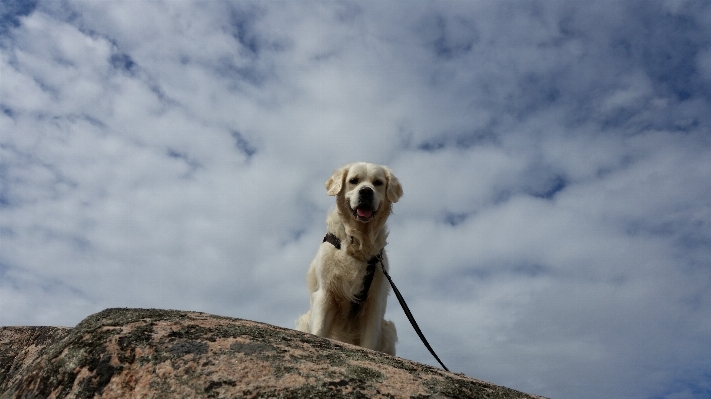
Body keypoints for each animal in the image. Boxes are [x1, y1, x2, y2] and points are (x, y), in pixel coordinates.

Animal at [294, 162, 404, 356]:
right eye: (354, 181)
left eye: (378, 182)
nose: (366, 191)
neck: (358, 242)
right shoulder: (326, 293)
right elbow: (319, 329)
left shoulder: (375, 301)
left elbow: (369, 341)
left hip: (388, 329)